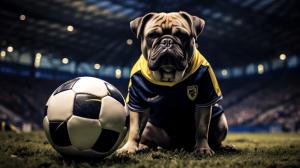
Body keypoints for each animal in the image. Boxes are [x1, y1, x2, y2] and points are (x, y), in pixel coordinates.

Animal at [118, 11, 234, 156]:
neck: (169, 74)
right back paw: (144, 146)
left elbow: (202, 130)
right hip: (150, 127)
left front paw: (203, 149)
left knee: (215, 138)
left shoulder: (204, 100)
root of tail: (178, 146)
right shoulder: (138, 102)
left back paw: (223, 147)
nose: (167, 41)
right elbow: (134, 130)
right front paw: (128, 148)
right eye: (152, 36)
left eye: (181, 35)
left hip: (221, 122)